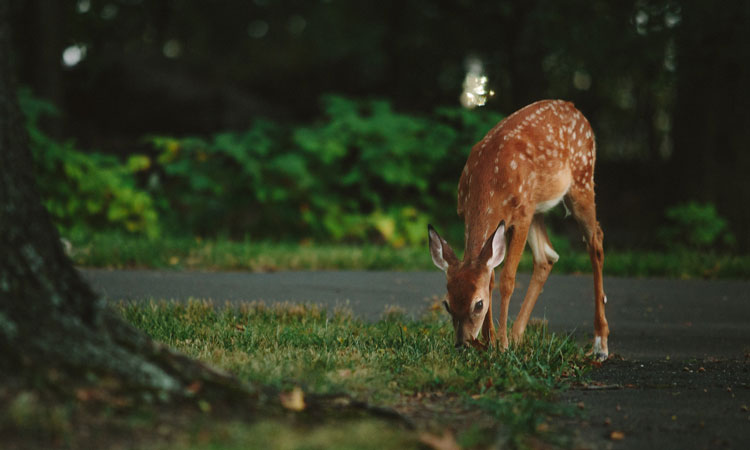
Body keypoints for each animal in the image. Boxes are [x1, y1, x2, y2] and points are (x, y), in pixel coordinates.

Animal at [428, 99, 609, 361]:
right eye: (447, 304)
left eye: (478, 304)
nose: (462, 344)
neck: (489, 181)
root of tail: (574, 108)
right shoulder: (470, 214)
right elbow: (490, 276)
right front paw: (490, 342)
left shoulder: (521, 216)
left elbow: (507, 280)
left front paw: (500, 345)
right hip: (538, 207)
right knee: (547, 256)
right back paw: (517, 336)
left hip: (581, 180)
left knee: (596, 241)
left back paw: (600, 344)